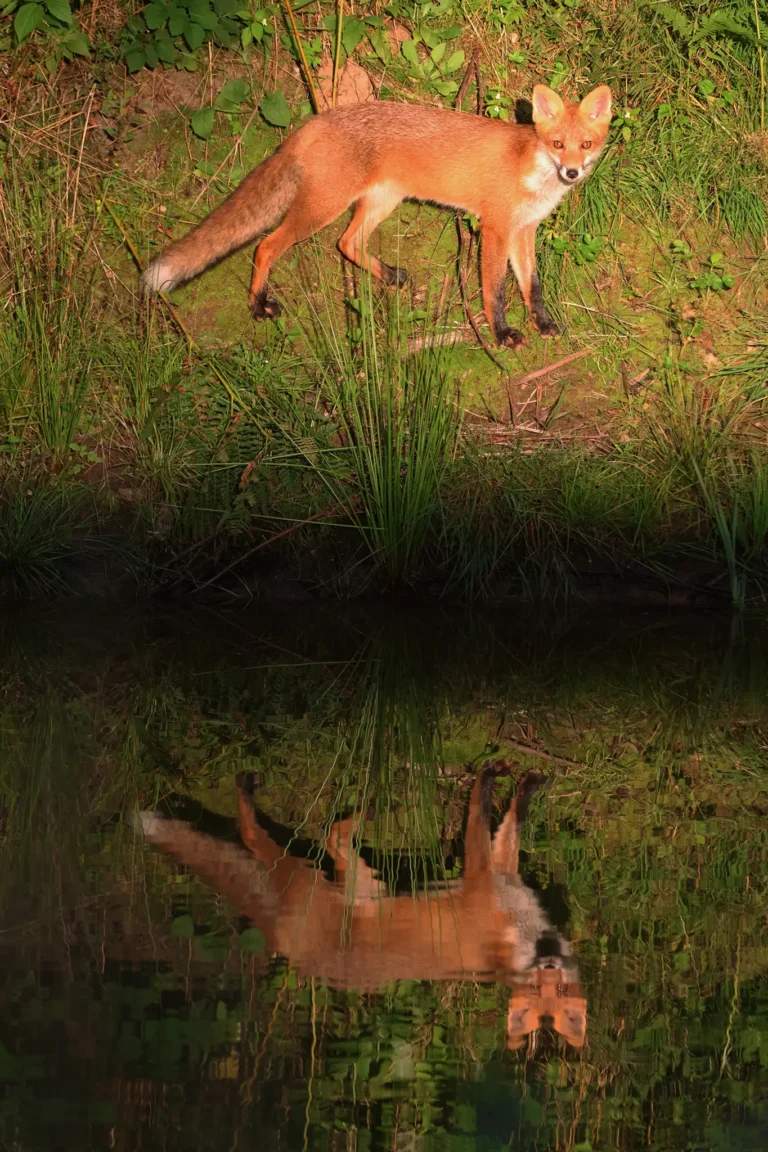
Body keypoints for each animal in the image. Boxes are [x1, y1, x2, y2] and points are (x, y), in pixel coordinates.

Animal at [138, 764, 587, 1050]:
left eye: (560, 990)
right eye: (536, 990)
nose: (549, 962)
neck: (517, 935)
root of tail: (289, 949)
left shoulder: (497, 876)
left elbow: (500, 825)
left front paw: (513, 785)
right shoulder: (486, 877)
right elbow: (489, 814)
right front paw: (505, 779)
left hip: (349, 878)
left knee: (321, 834)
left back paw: (367, 808)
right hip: (309, 874)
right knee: (264, 834)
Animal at [141, 84, 612, 348]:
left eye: (586, 145)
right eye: (556, 143)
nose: (571, 172)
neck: (534, 173)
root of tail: (316, 121)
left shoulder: (523, 230)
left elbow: (533, 285)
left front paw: (543, 323)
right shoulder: (495, 229)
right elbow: (494, 291)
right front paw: (501, 335)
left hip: (382, 202)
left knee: (346, 242)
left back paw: (387, 275)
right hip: (320, 209)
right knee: (266, 245)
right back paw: (258, 305)